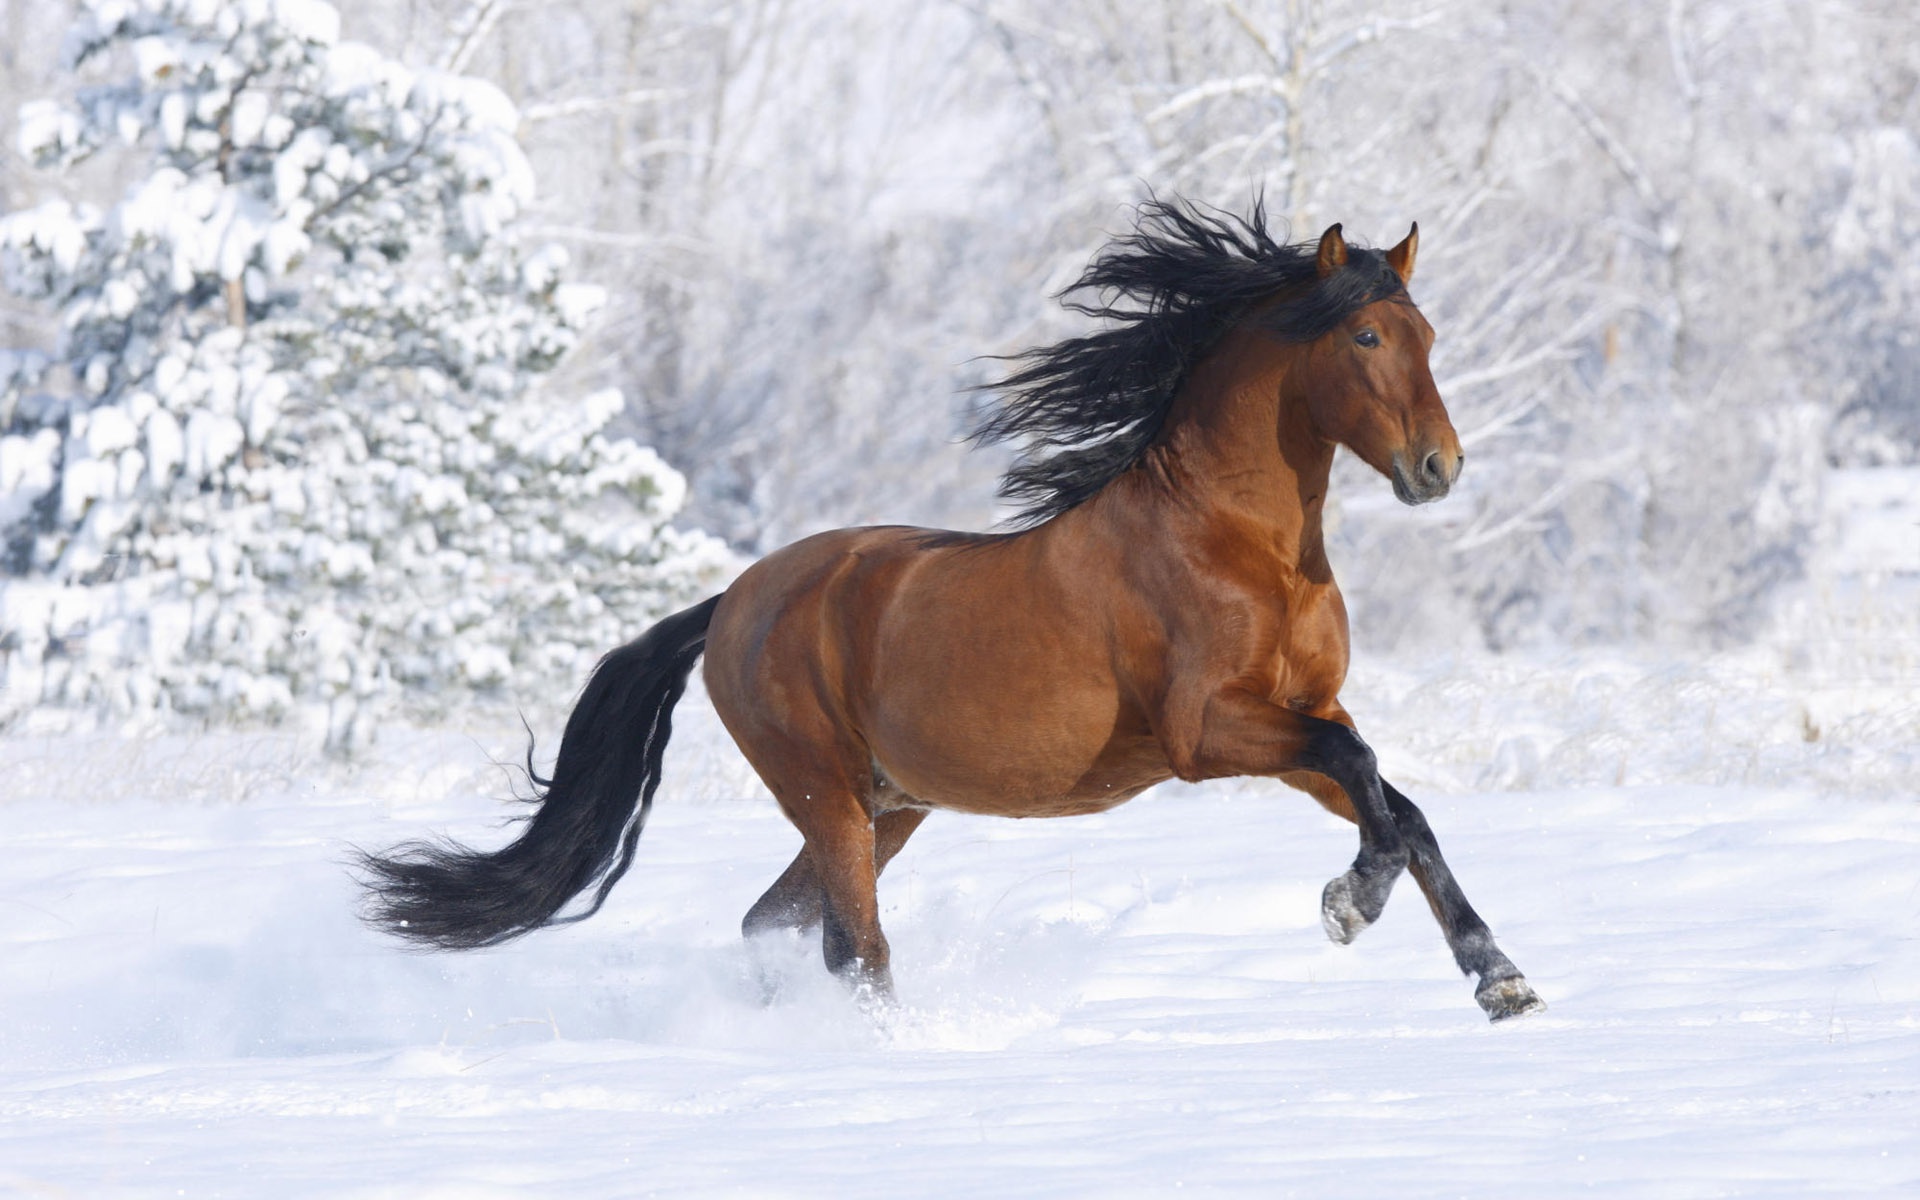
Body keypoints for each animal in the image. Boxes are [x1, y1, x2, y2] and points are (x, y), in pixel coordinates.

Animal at [359, 200, 1545, 1023]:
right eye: (1365, 341)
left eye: (1428, 335)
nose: (1439, 467)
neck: (1236, 543)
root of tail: (736, 599)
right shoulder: (1210, 732)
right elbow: (1371, 781)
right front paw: (1350, 905)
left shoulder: (1305, 716)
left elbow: (1400, 805)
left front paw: (1499, 978)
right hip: (827, 796)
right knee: (854, 947)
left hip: (890, 806)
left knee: (775, 923)